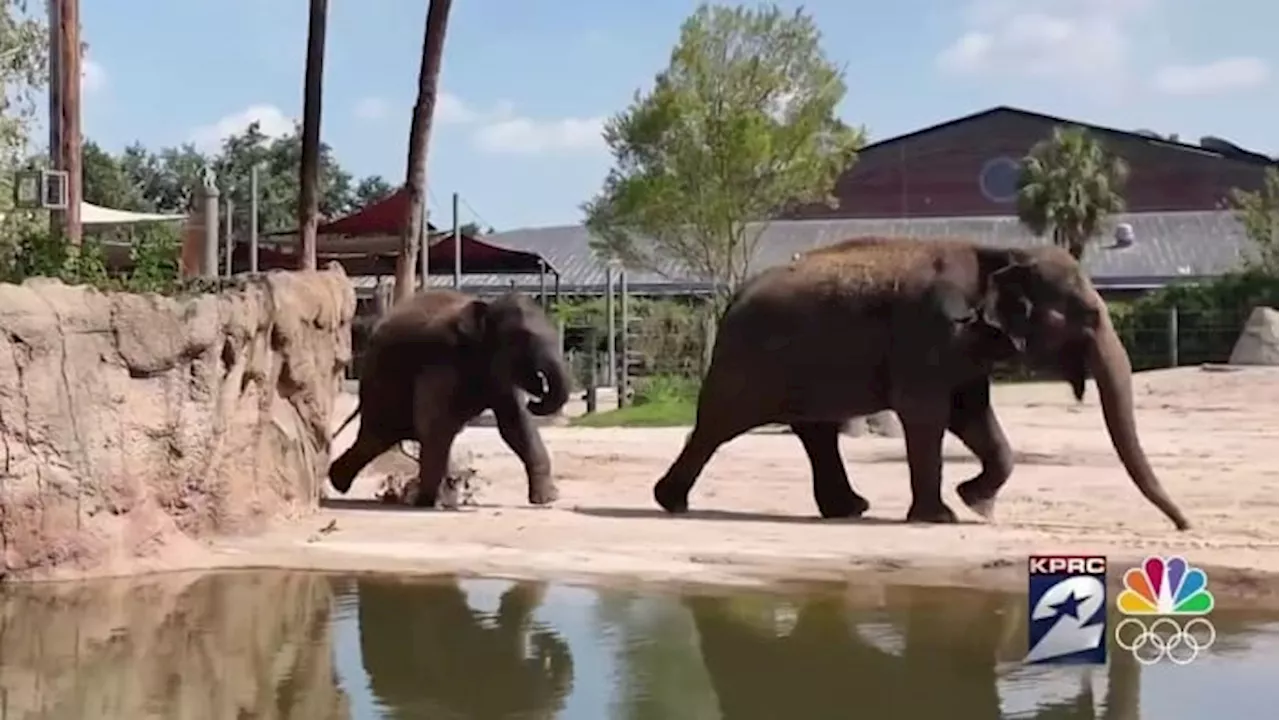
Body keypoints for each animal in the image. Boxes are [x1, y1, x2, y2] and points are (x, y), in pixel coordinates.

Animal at [330, 288, 570, 507]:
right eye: (521, 338)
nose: (535, 399)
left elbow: (515, 424)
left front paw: (547, 499)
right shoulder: (441, 358)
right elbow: (437, 423)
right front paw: (428, 502)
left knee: (378, 438)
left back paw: (338, 481)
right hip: (380, 383)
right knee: (379, 435)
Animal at [660, 235, 1187, 527]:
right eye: (1087, 315)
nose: (1184, 528)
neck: (1001, 253)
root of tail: (733, 298)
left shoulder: (965, 347)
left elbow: (971, 414)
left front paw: (977, 504)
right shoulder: (931, 328)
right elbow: (927, 414)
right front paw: (944, 516)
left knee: (817, 432)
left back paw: (850, 509)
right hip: (748, 362)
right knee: (719, 424)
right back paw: (672, 503)